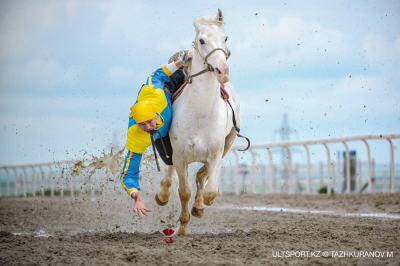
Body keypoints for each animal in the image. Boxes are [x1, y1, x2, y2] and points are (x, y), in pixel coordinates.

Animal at [156, 9, 244, 236]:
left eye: (225, 38)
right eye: (202, 40)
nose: (223, 71)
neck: (200, 115)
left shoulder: (216, 153)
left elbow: (210, 190)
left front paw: (199, 207)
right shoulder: (179, 155)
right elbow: (184, 191)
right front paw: (182, 227)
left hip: (229, 141)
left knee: (202, 176)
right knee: (170, 174)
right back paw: (162, 195)